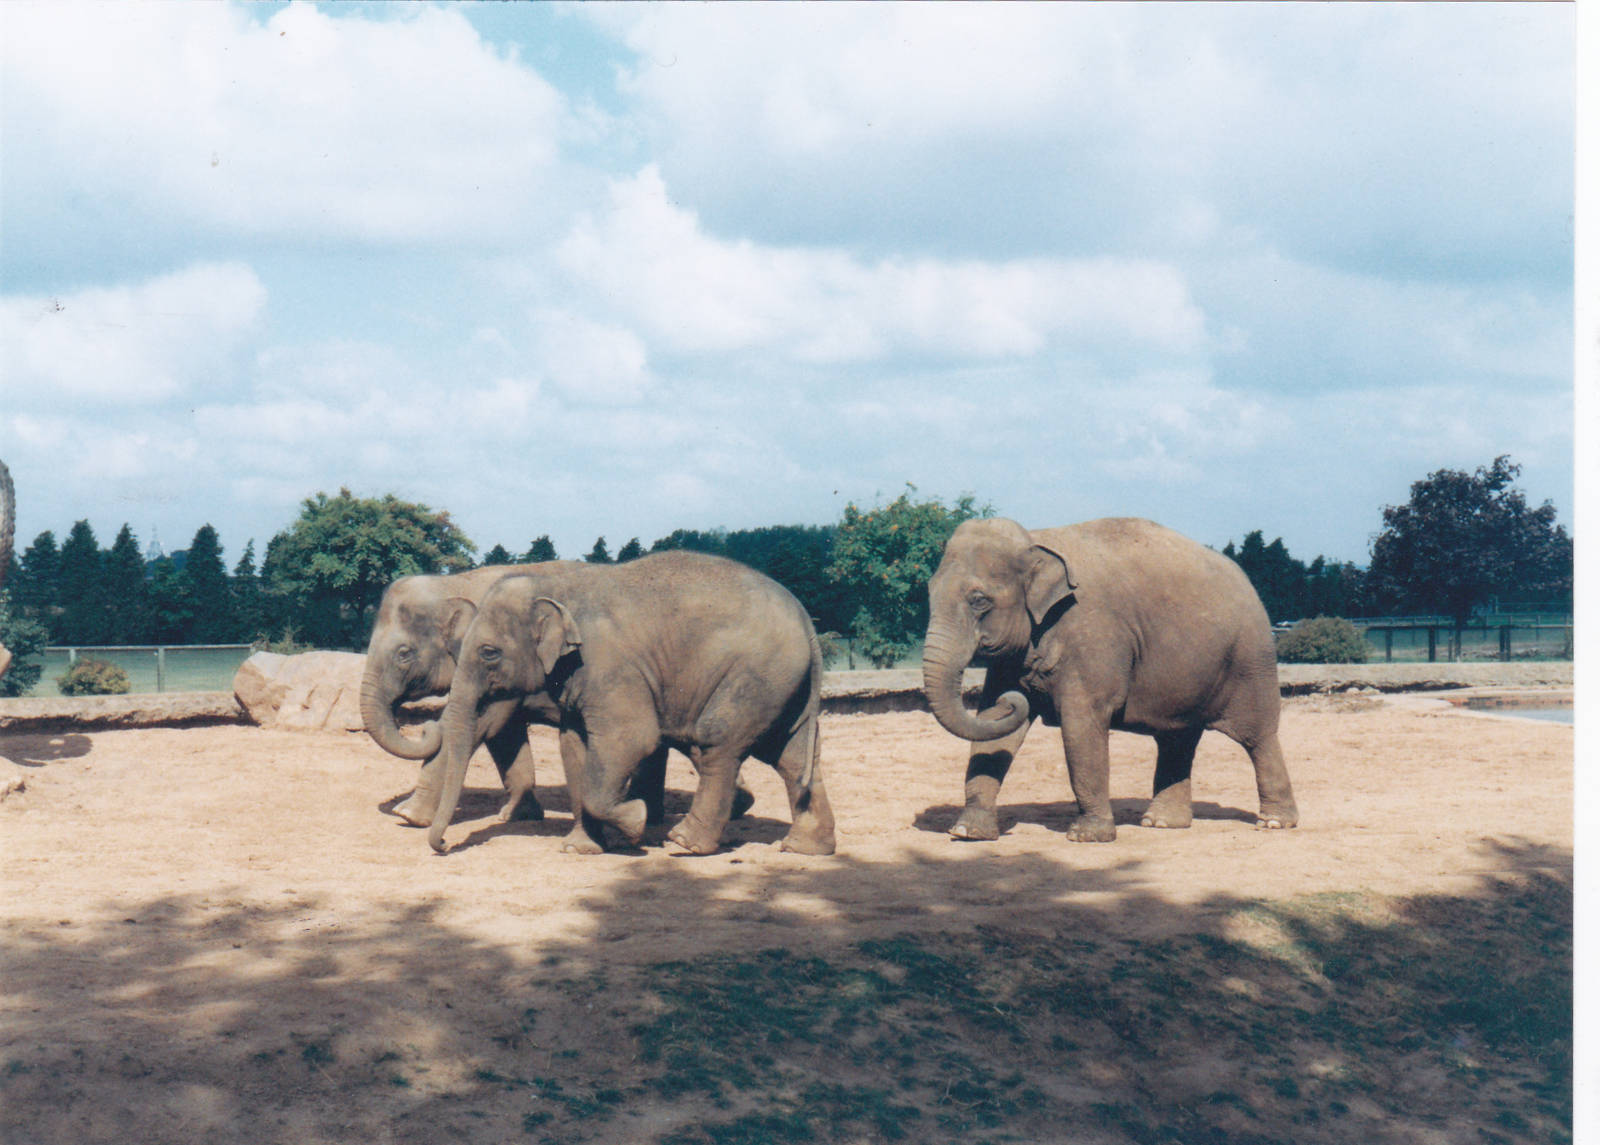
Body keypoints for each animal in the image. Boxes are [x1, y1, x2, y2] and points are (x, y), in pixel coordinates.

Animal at [360, 561, 754, 836]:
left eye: (403, 654)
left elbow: (486, 725)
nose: (424, 725)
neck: (458, 581)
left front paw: (409, 816)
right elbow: (505, 737)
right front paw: (518, 815)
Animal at [425, 550, 836, 858]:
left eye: (489, 652)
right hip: (785, 686)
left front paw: (636, 820)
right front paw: (579, 849)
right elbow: (573, 747)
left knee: (719, 743)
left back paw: (684, 842)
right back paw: (805, 848)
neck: (559, 587)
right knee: (793, 757)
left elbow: (633, 738)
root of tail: (806, 621)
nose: (443, 844)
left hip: (755, 676)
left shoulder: (611, 667)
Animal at [922, 516, 1297, 843]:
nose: (1017, 700)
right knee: (1178, 739)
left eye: (978, 600)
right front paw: (967, 833)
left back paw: (1274, 823)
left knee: (1258, 736)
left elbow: (1081, 725)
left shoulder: (1093, 635)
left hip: (1251, 659)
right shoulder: (1014, 657)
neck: (1037, 540)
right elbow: (992, 724)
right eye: (929, 592)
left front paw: (1087, 837)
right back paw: (1161, 823)